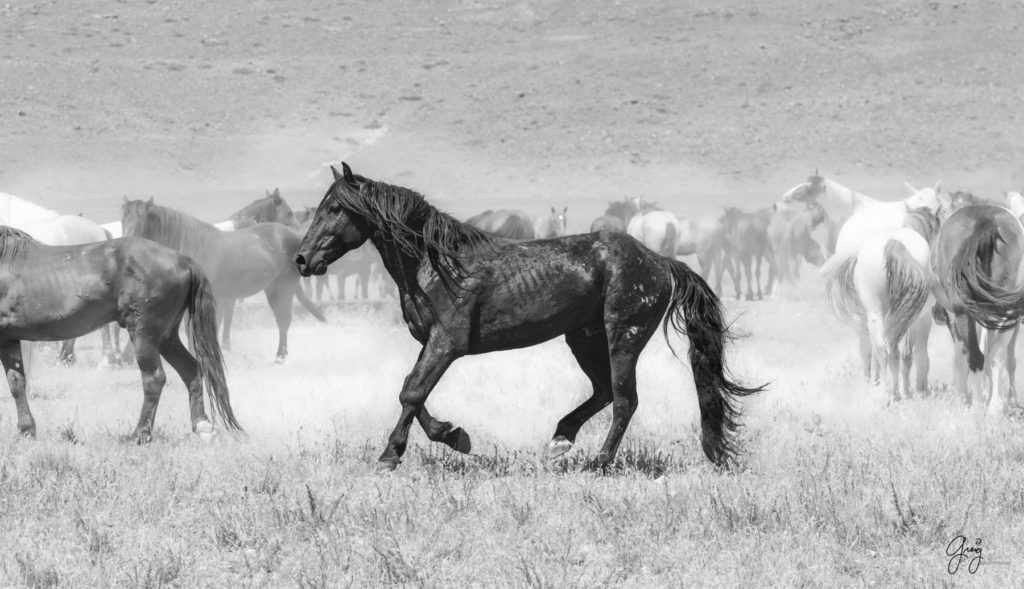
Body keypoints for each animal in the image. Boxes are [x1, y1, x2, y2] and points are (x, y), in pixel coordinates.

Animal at [0, 225, 239, 442]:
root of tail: (181, 259)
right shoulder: (8, 340)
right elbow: (17, 383)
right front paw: (26, 430)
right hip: (166, 337)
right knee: (191, 369)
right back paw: (202, 427)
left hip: (143, 334)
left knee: (154, 379)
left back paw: (139, 434)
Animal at [121, 196, 325, 360]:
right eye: (123, 219)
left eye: (141, 218)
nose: (126, 242)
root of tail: (296, 237)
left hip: (283, 290)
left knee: (283, 320)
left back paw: (280, 357)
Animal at [294, 163, 761, 473]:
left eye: (335, 208)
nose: (301, 260)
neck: (436, 264)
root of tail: (660, 261)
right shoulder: (432, 344)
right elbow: (414, 393)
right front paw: (454, 436)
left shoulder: (446, 344)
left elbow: (411, 392)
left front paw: (393, 455)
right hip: (583, 338)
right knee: (603, 392)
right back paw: (560, 442)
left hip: (622, 336)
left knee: (624, 399)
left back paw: (597, 463)